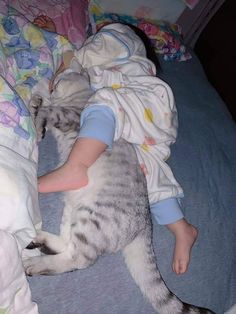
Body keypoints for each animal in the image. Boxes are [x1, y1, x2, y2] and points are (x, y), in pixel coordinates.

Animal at [24, 67, 215, 314]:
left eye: (63, 76)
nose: (53, 80)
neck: (78, 96)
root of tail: (146, 225)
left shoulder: (68, 114)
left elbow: (48, 112)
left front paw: (38, 114)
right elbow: (43, 107)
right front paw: (35, 101)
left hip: (92, 218)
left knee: (78, 259)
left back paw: (35, 262)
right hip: (73, 211)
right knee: (67, 244)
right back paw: (40, 240)